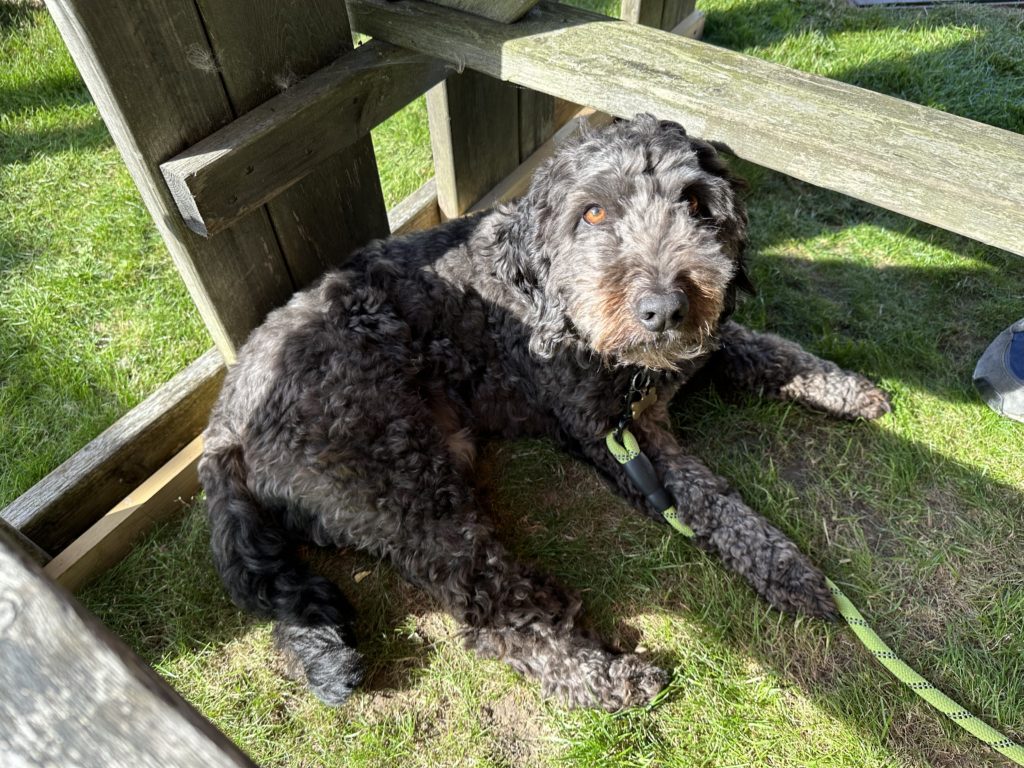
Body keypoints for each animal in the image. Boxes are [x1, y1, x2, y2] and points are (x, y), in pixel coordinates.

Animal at [199, 115, 888, 716]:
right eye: (594, 212)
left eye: (696, 204)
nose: (665, 310)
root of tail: (224, 426)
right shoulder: (618, 438)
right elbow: (713, 502)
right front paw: (788, 569)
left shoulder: (700, 351)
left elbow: (767, 349)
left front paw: (847, 388)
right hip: (408, 488)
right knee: (493, 610)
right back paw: (605, 678)